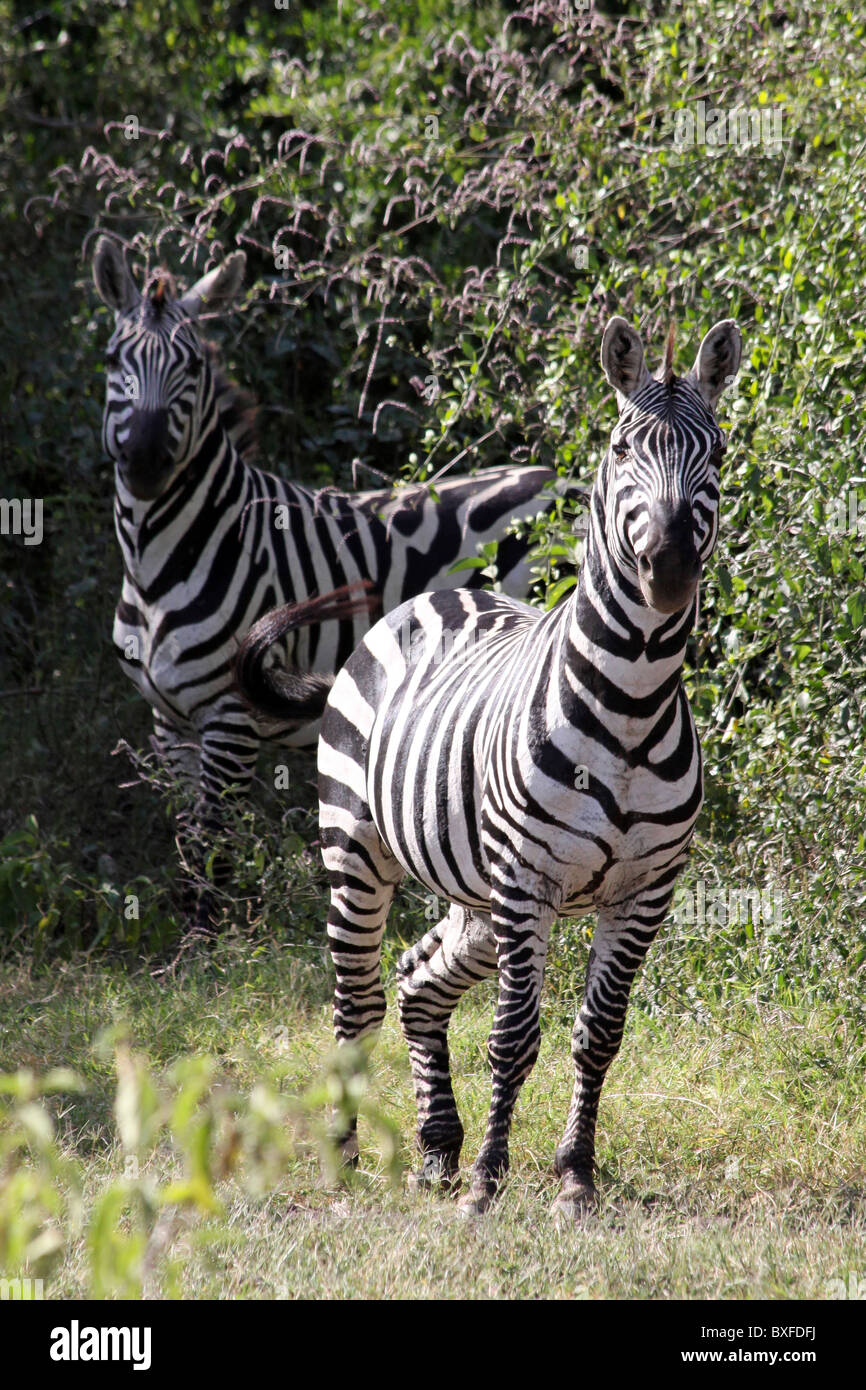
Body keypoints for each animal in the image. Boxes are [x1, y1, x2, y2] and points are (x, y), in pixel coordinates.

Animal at [91, 236, 578, 930]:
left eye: (194, 365)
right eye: (113, 360)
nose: (147, 462)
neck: (160, 559)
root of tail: (565, 480)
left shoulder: (230, 716)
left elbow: (214, 843)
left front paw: (206, 939)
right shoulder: (169, 721)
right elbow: (187, 836)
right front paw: (191, 937)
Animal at [309, 313, 741, 1216]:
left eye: (716, 449)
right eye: (621, 446)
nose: (670, 567)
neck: (634, 705)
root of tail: (437, 593)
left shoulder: (645, 892)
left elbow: (598, 1035)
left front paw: (573, 1174)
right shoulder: (528, 881)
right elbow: (513, 1038)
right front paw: (488, 1182)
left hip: (475, 895)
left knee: (417, 981)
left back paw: (437, 1146)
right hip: (358, 851)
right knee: (356, 1002)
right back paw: (346, 1155)